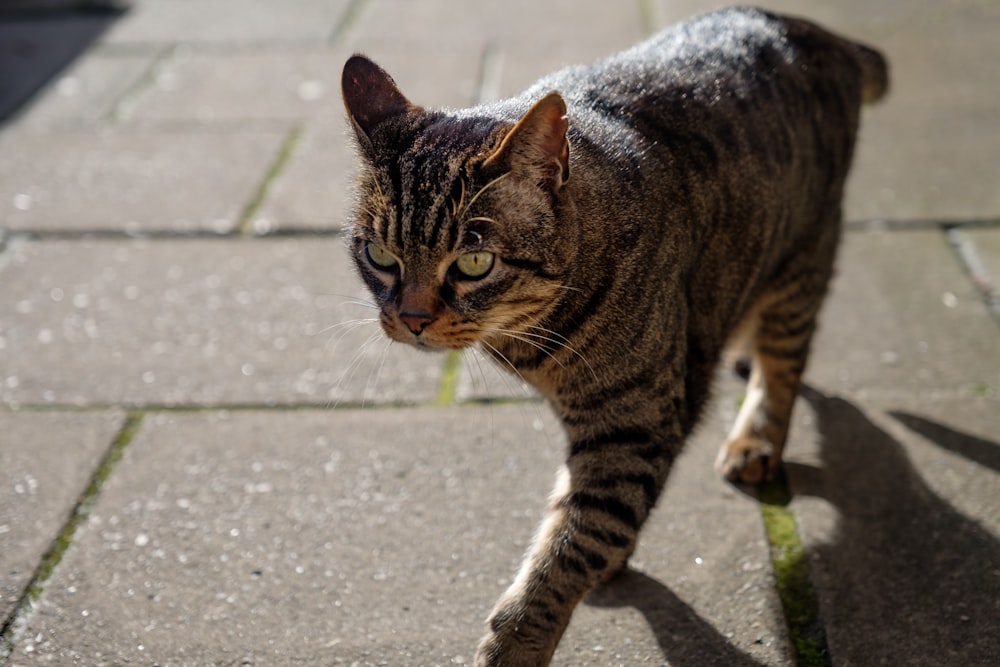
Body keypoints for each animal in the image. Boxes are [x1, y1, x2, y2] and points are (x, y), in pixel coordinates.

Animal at [340, 6, 888, 667]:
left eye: (473, 263)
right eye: (380, 256)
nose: (412, 318)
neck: (532, 341)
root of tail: (806, 27)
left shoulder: (633, 423)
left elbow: (577, 540)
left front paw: (518, 642)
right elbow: (583, 518)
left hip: (800, 263)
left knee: (785, 363)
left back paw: (756, 438)